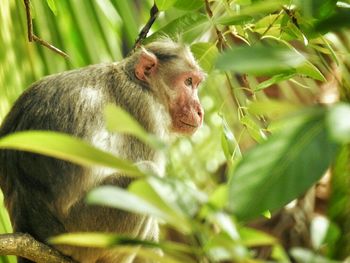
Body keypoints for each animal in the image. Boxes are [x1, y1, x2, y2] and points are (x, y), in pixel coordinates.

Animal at [0, 39, 205, 263]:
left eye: (196, 83)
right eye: (188, 82)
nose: (199, 110)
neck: (137, 82)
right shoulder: (145, 114)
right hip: (86, 233)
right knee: (146, 173)